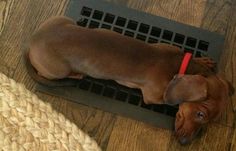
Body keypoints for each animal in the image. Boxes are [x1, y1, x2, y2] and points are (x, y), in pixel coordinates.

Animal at [26, 16, 233, 144]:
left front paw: (203, 60)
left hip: (63, 20)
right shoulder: (153, 97)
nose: (184, 143)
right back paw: (76, 74)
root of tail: (33, 42)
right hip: (58, 71)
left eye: (209, 119)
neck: (177, 65)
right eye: (200, 114)